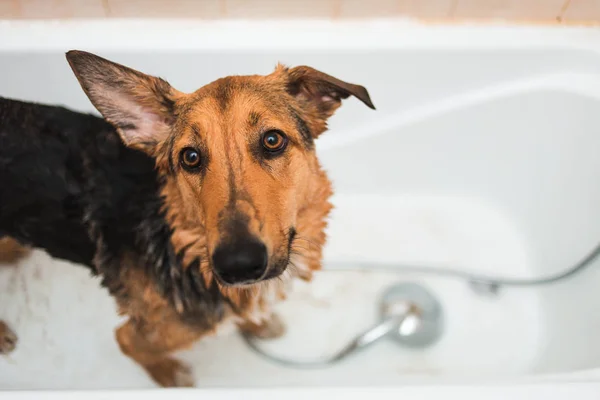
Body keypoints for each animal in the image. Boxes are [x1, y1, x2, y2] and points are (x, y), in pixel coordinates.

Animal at [0, 51, 376, 386]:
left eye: (272, 140)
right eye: (190, 157)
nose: (238, 265)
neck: (177, 239)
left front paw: (256, 323)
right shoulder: (140, 332)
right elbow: (130, 345)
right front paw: (169, 375)